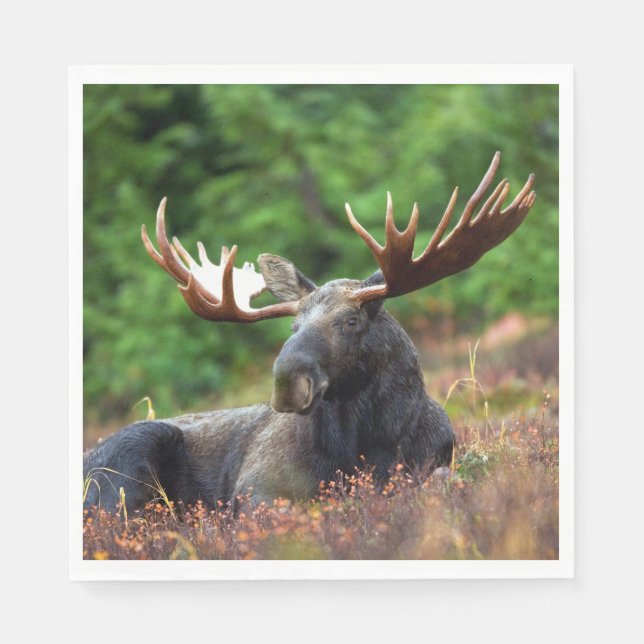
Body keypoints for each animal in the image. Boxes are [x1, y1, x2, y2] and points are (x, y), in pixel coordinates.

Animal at [83, 152, 536, 513]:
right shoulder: (256, 487)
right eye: (294, 325)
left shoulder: (435, 463)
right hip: (126, 464)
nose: (287, 382)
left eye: (351, 320)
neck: (371, 445)